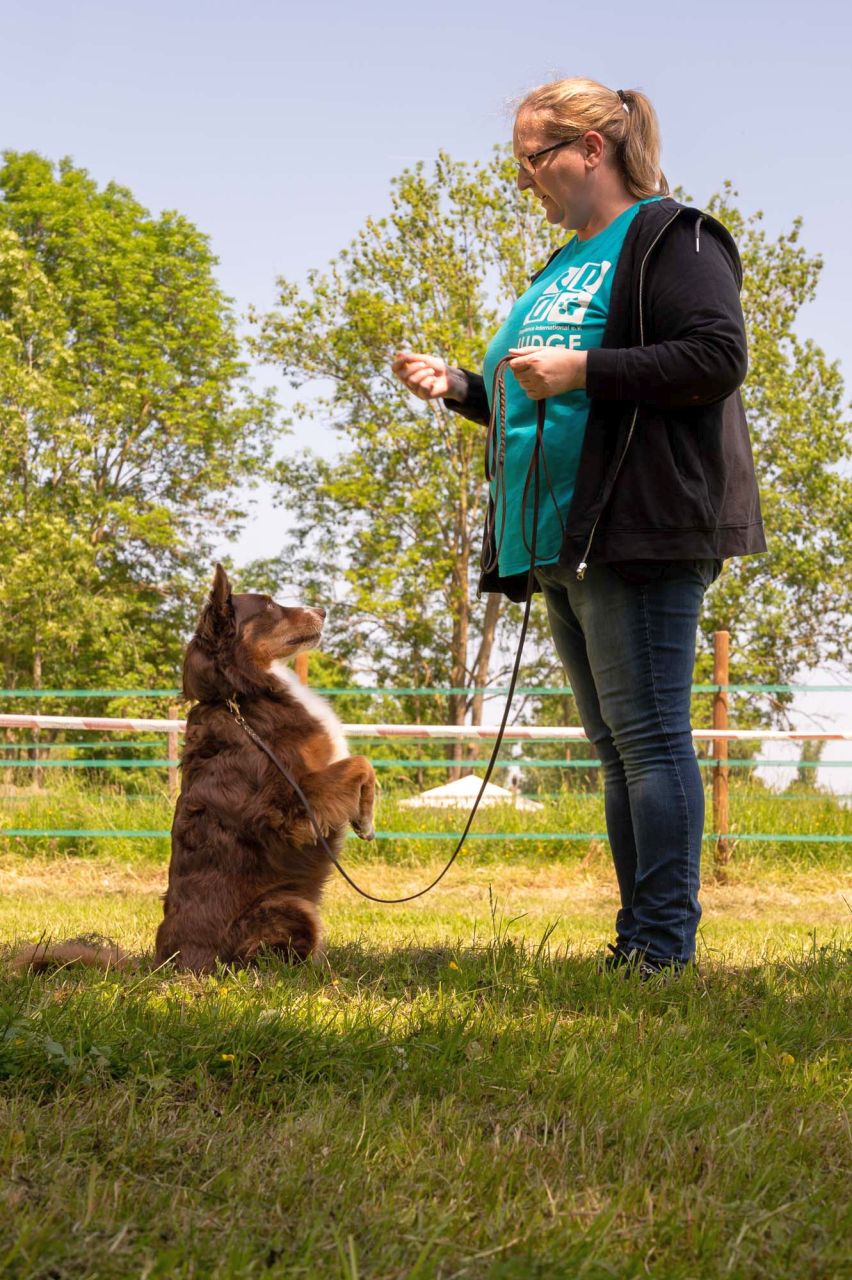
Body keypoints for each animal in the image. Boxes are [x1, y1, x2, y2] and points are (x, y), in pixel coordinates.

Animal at [11, 565, 373, 972]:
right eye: (268, 605)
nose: (323, 610)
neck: (238, 697)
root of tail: (164, 962)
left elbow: (360, 767)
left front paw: (363, 818)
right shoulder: (287, 806)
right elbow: (360, 765)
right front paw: (365, 818)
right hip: (290, 906)